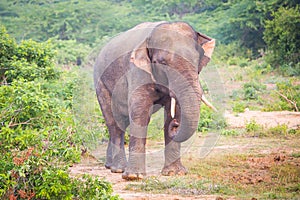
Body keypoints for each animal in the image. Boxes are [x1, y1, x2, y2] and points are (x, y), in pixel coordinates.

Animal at [94, 21, 216, 180]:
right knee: (115, 123)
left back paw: (110, 166)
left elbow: (175, 110)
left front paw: (174, 173)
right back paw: (119, 169)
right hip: (101, 84)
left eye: (197, 60)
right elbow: (140, 112)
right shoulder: (137, 71)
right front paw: (134, 176)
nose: (176, 126)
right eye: (161, 62)